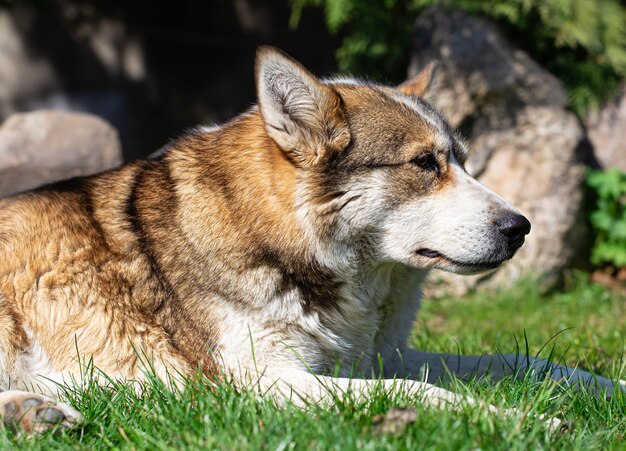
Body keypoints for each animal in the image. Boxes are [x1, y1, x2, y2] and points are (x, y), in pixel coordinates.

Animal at [0, 46, 616, 434]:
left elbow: (522, 361)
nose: (521, 227)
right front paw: (524, 421)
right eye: (424, 163)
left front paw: (606, 388)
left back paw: (34, 414)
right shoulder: (260, 382)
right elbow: (420, 394)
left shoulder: (380, 356)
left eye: (462, 161)